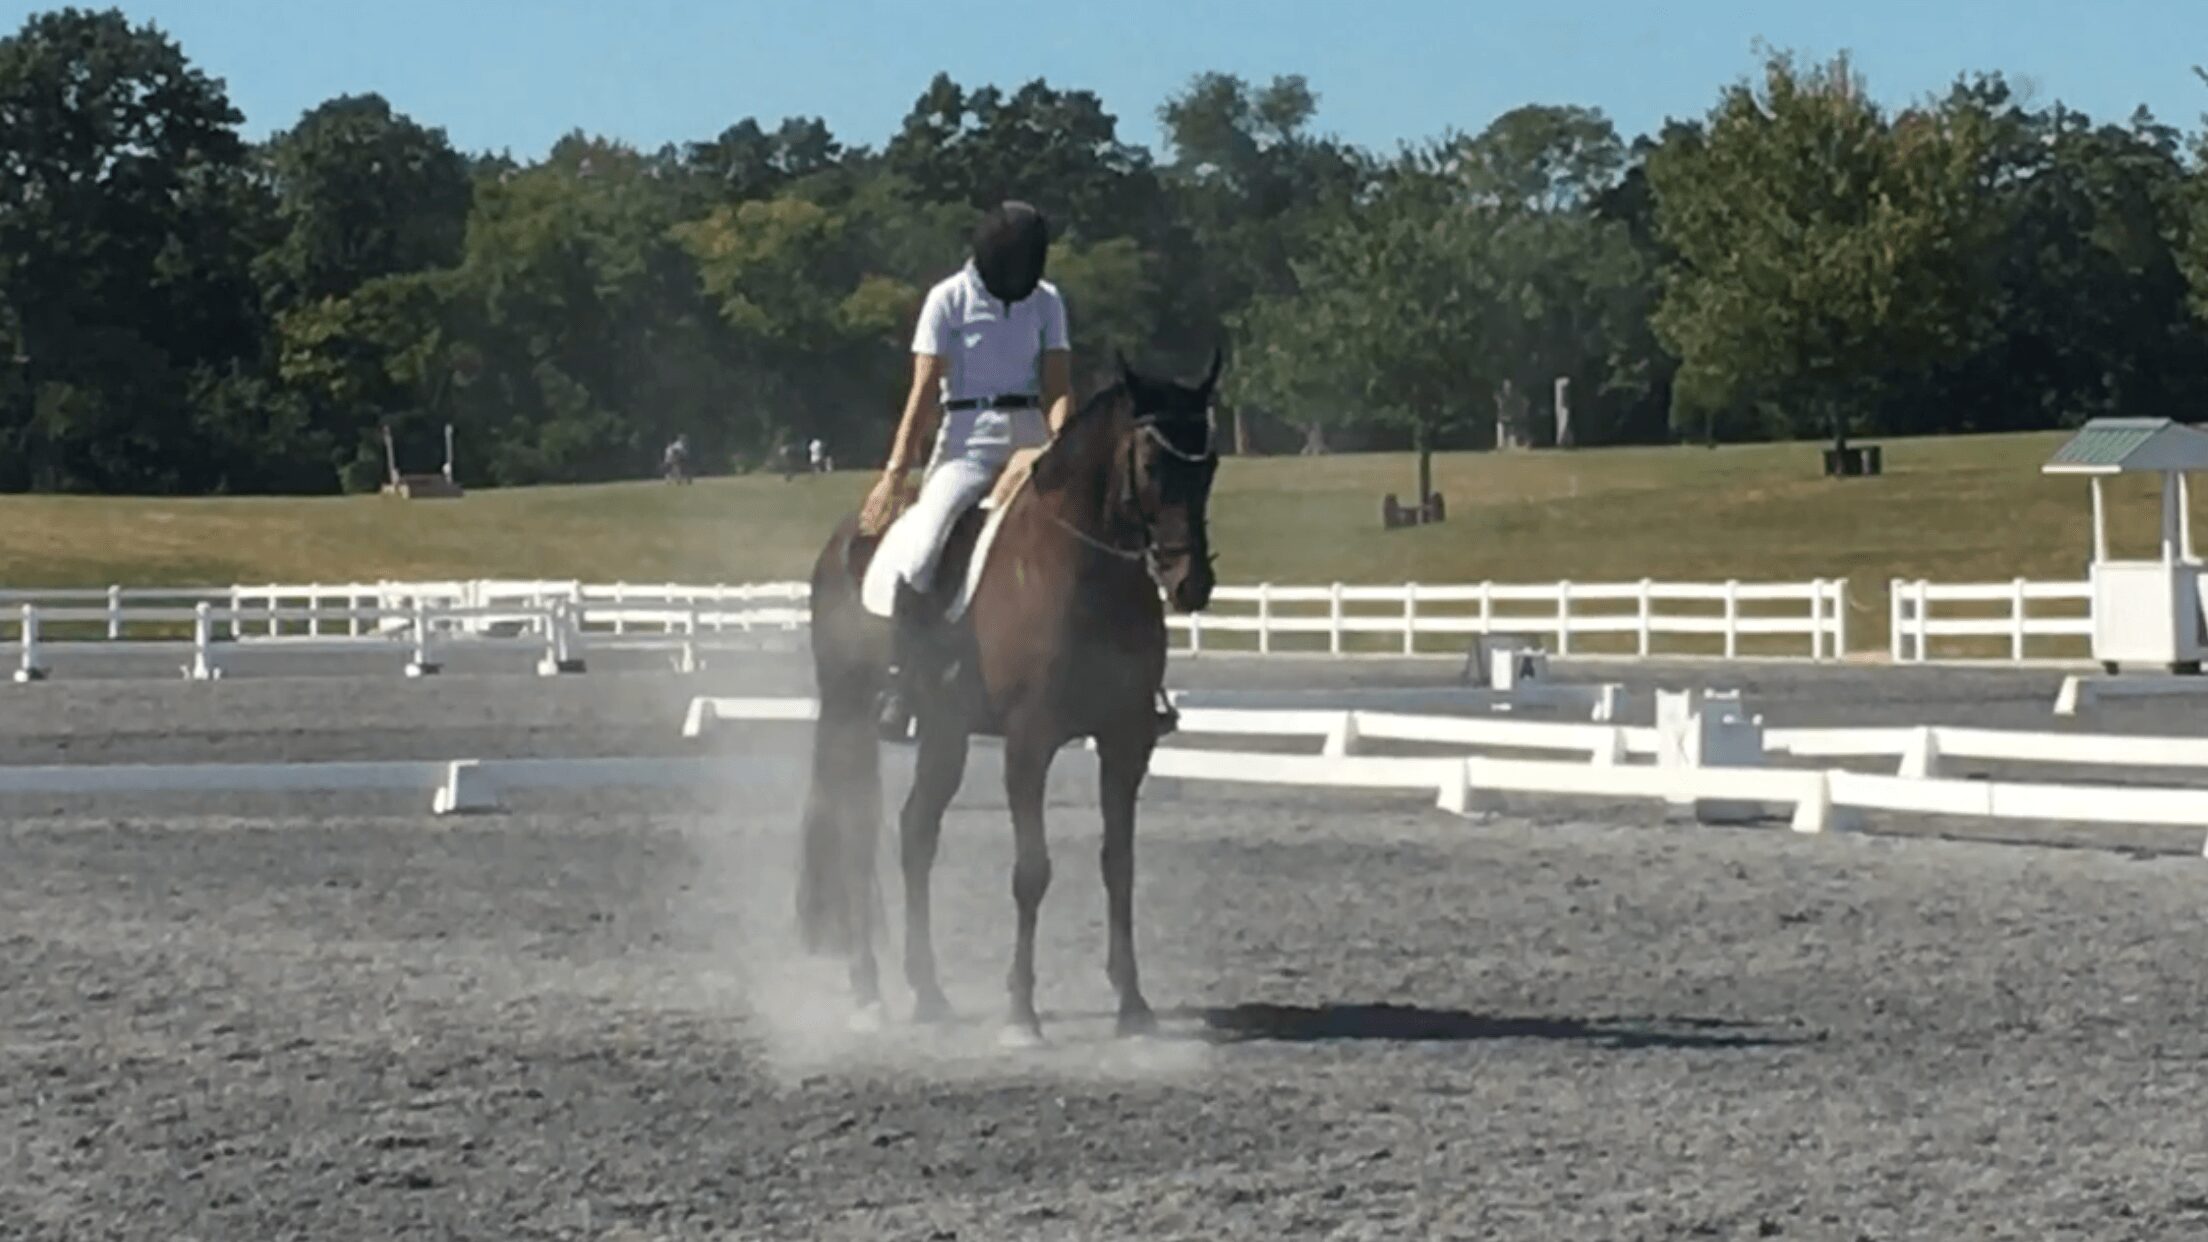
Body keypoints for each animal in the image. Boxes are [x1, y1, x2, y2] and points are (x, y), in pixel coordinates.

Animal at [792, 349, 1224, 1045]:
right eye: (1153, 466)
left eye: (1209, 464)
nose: (1192, 584)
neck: (1083, 569)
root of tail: (844, 540)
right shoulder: (1029, 741)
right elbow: (1032, 871)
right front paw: (1021, 1013)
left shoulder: (1125, 742)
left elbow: (1119, 865)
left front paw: (1133, 1006)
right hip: (850, 713)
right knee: (856, 831)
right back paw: (868, 995)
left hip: (944, 731)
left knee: (916, 832)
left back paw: (928, 992)